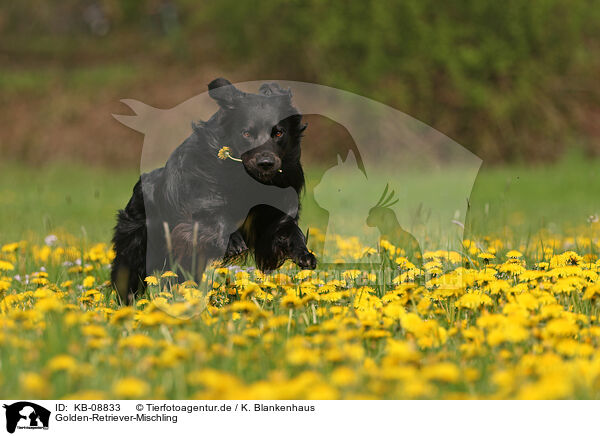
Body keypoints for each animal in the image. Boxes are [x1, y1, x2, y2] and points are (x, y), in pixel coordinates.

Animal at [113, 77, 318, 304]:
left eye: (279, 132)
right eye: (246, 133)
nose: (266, 163)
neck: (247, 180)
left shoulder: (273, 212)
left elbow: (287, 230)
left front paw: (305, 254)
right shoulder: (197, 207)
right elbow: (211, 217)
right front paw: (233, 241)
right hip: (136, 243)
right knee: (128, 272)